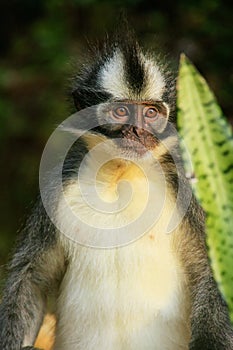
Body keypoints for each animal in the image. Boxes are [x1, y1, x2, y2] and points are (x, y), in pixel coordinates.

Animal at [0, 26, 233, 350]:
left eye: (151, 113)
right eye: (121, 111)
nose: (139, 132)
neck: (122, 172)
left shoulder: (185, 184)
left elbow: (213, 269)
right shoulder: (58, 183)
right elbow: (32, 275)